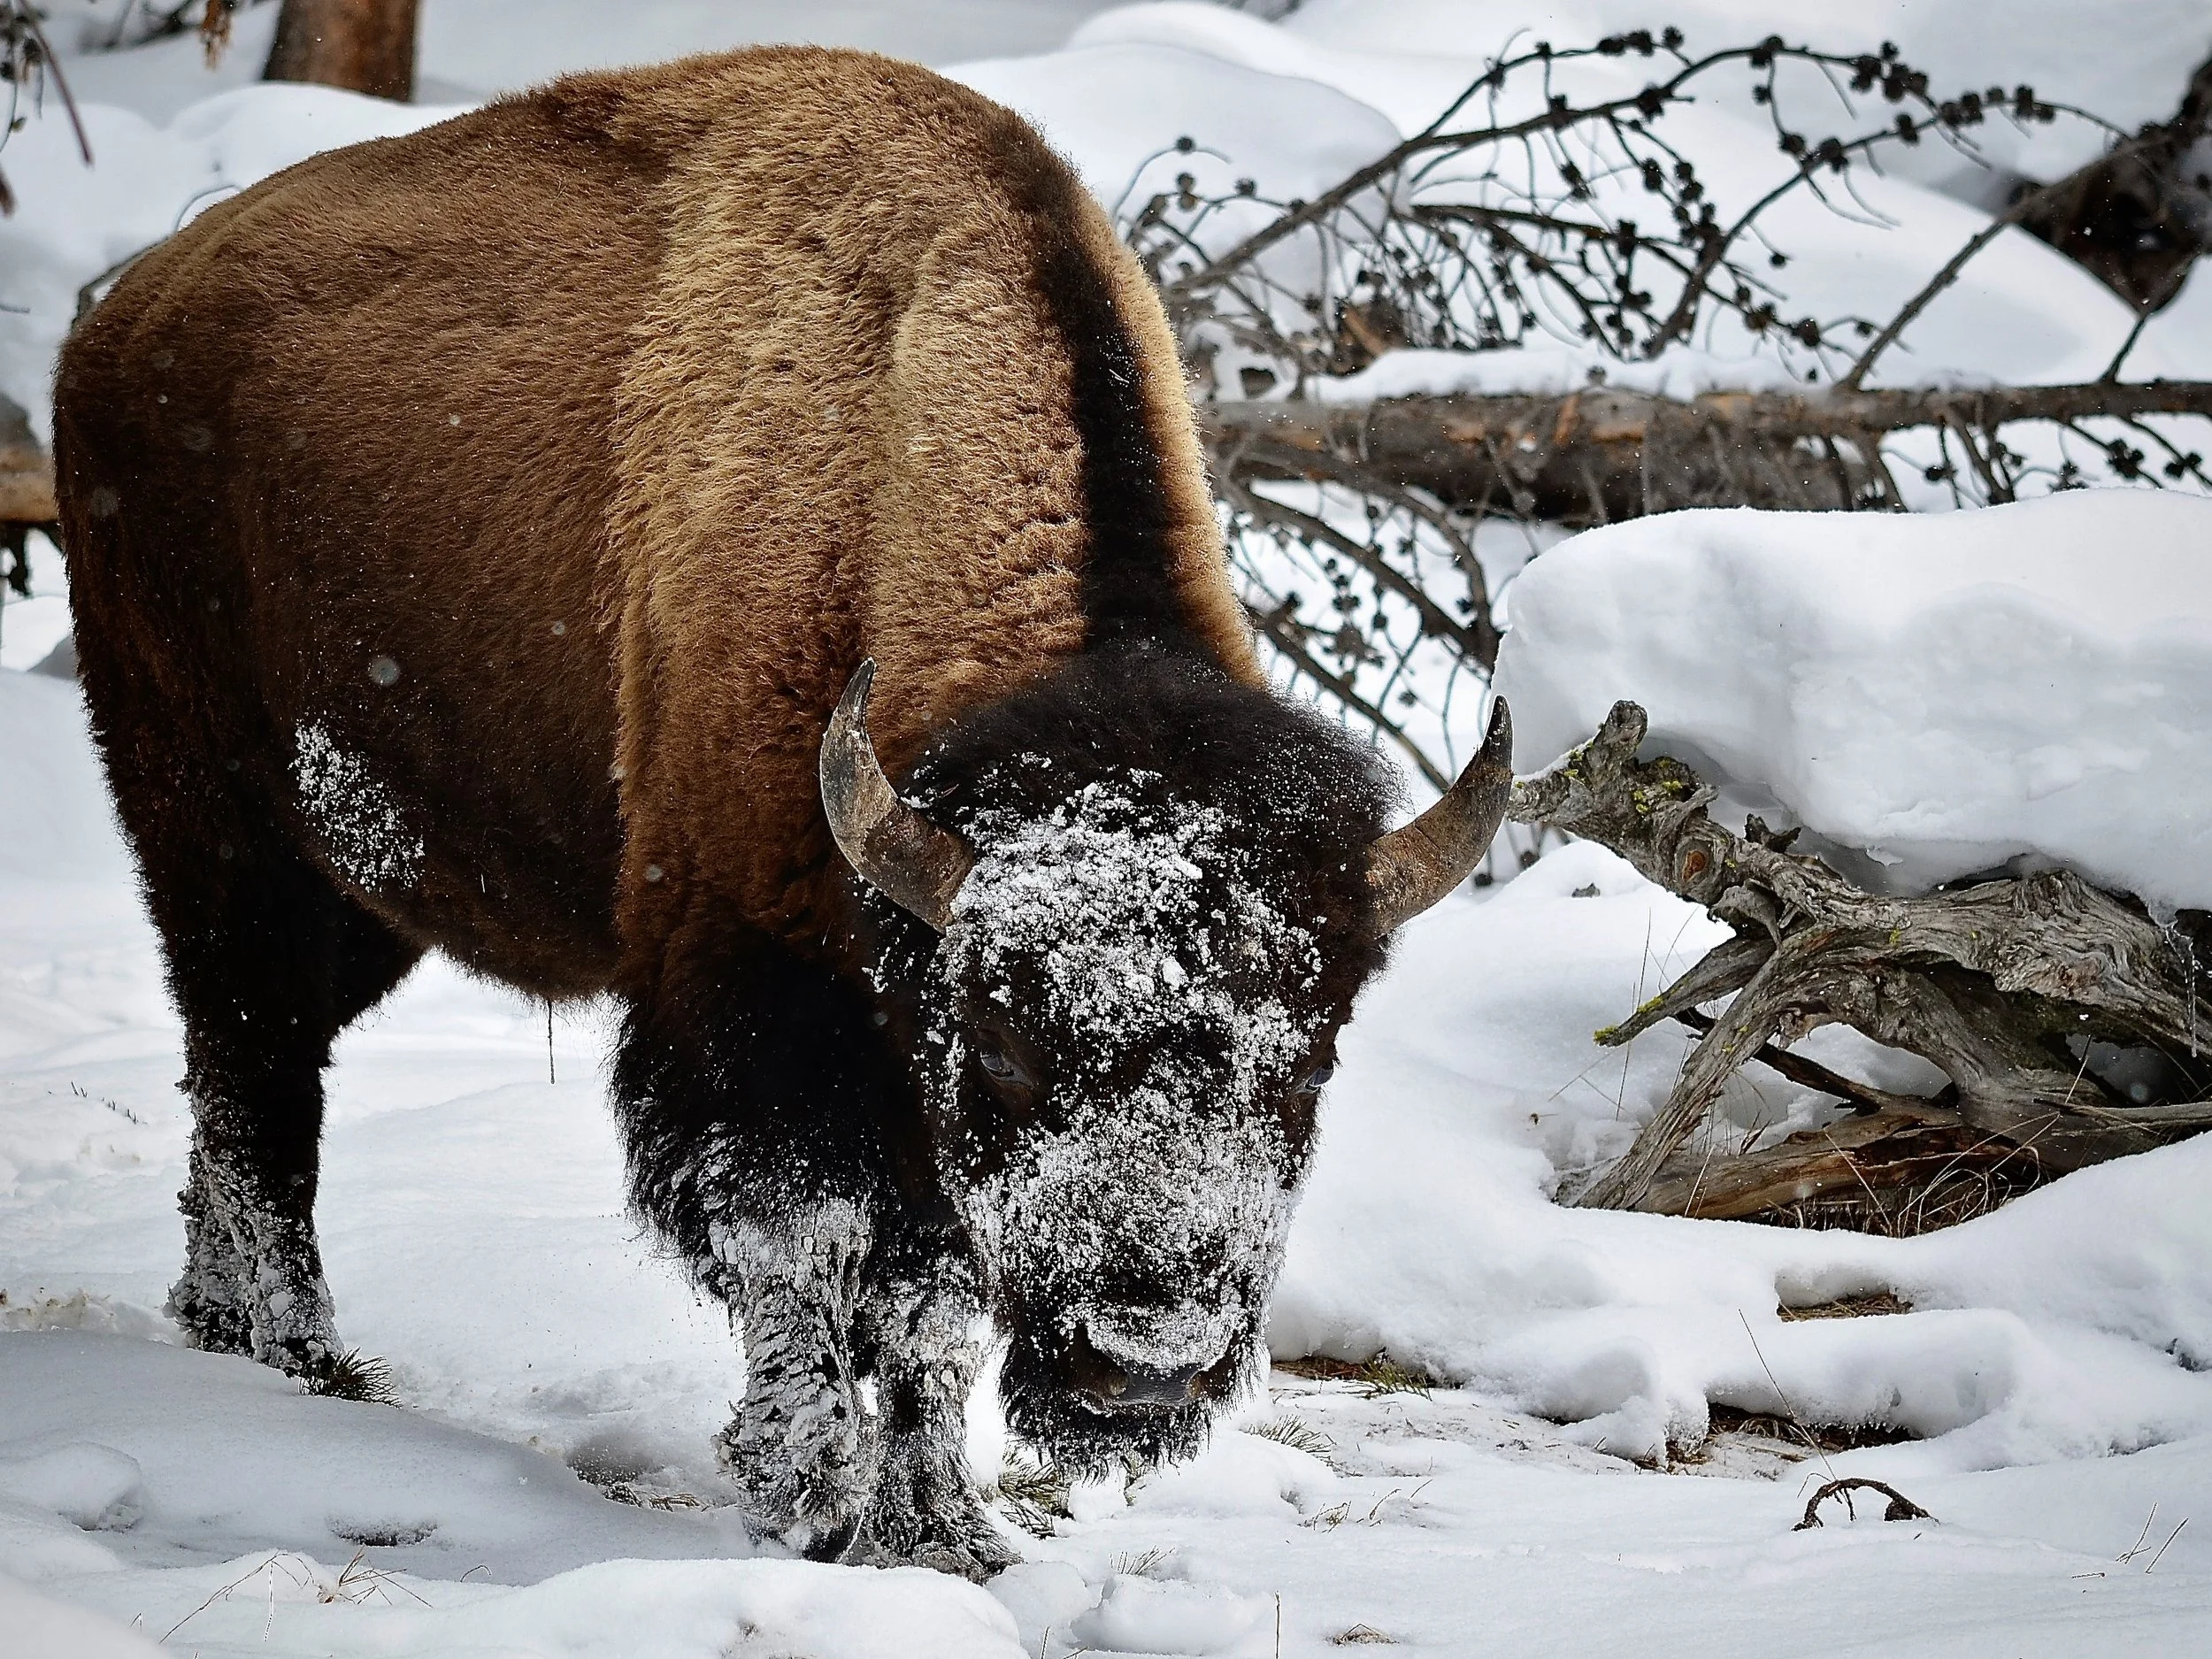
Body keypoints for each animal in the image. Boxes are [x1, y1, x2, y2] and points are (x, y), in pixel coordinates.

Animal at [53, 47, 1510, 1575]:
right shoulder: (749, 1010)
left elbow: (927, 1300)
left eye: (1310, 1056)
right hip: (215, 834)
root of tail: (116, 322)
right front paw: (808, 1497)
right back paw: (299, 1357)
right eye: (1008, 1042)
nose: (1143, 1359)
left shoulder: (906, 1082)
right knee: (257, 1078)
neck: (882, 473)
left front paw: (944, 1528)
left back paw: (222, 1324)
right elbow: (800, 1242)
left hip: (361, 895)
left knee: (241, 1076)